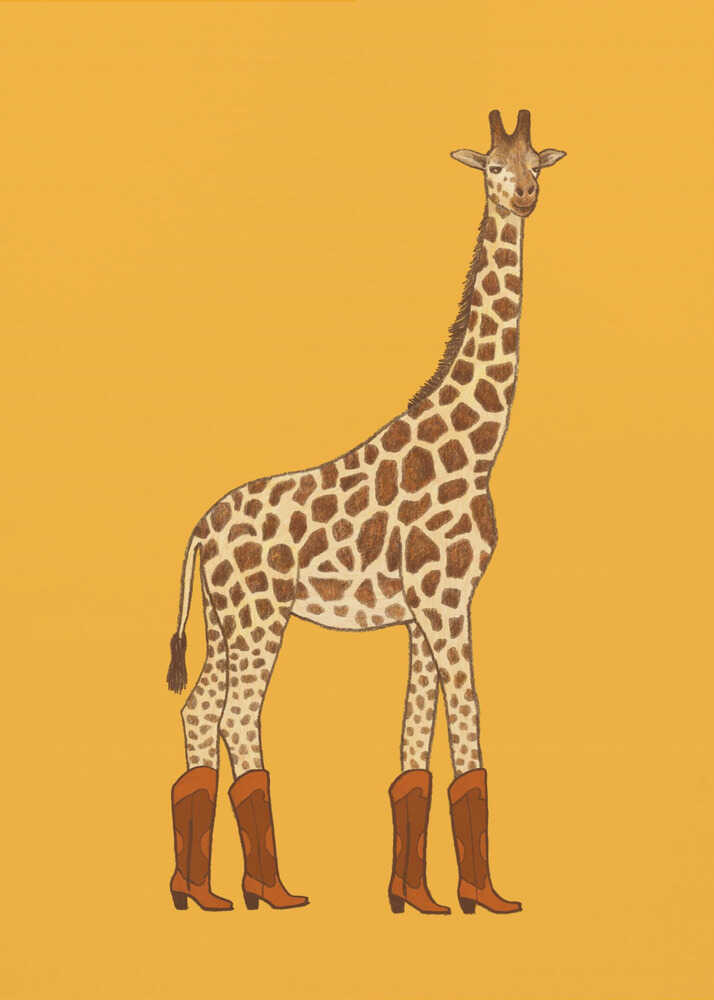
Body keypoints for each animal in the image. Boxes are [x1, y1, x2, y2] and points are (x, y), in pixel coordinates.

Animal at [166, 109, 566, 915]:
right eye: (492, 169)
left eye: (537, 163)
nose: (526, 197)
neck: (479, 446)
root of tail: (199, 530)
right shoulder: (446, 599)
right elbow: (469, 725)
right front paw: (485, 896)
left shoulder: (422, 611)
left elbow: (414, 747)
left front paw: (417, 897)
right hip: (261, 616)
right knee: (236, 716)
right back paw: (271, 890)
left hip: (224, 621)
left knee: (198, 712)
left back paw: (201, 891)